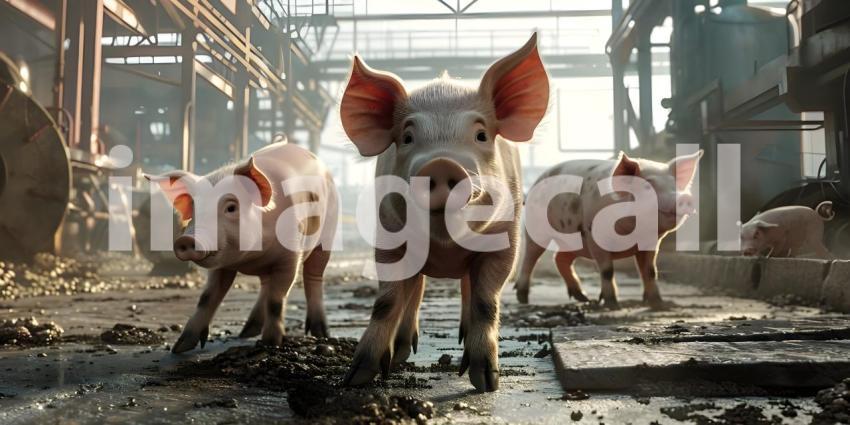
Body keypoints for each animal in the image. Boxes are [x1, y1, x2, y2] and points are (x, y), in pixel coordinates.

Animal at [146, 140, 338, 353]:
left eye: (231, 207)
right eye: (195, 209)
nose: (186, 240)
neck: (252, 256)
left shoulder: (290, 257)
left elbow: (276, 300)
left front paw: (271, 343)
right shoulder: (221, 266)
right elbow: (207, 298)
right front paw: (179, 348)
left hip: (326, 237)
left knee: (314, 277)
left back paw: (321, 333)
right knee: (265, 286)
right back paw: (247, 332)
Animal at [338, 34, 550, 392]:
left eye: (481, 135)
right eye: (407, 137)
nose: (441, 163)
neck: (445, 245)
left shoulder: (504, 242)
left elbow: (486, 301)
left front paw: (486, 381)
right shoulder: (390, 239)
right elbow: (386, 302)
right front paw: (356, 378)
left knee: (465, 288)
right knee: (416, 289)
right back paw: (401, 352)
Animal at [514, 151, 703, 309]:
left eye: (675, 186)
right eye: (648, 186)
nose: (683, 197)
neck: (633, 233)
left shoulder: (652, 242)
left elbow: (650, 271)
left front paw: (659, 304)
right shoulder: (594, 235)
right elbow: (607, 271)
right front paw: (612, 304)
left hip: (575, 241)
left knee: (559, 258)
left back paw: (583, 297)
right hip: (535, 229)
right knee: (530, 258)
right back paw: (523, 298)